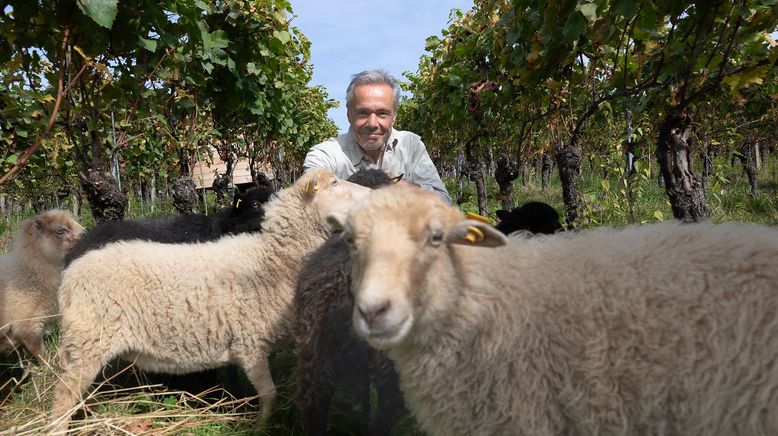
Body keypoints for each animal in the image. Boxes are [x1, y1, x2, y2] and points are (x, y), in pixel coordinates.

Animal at [50, 169, 370, 432]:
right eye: (334, 183)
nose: (371, 193)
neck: (273, 260)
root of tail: (70, 274)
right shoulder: (250, 343)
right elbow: (269, 394)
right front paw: (259, 425)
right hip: (88, 341)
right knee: (64, 393)